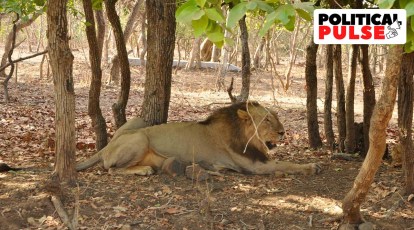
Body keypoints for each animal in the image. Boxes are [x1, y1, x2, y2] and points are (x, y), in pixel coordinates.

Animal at [78, 101, 324, 176]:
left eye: (276, 117)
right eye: (266, 121)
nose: (283, 132)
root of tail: (106, 146)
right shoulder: (254, 167)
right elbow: (285, 164)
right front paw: (312, 166)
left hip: (140, 120)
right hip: (140, 139)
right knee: (110, 168)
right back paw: (144, 170)